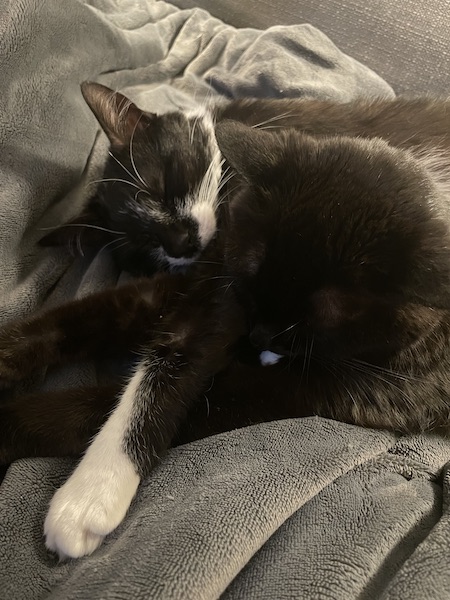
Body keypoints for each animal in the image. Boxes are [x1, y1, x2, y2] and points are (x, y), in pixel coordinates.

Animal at [2, 84, 450, 556]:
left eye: (159, 186)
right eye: (143, 244)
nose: (179, 243)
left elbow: (160, 372)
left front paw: (88, 493)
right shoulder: (199, 281)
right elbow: (94, 317)